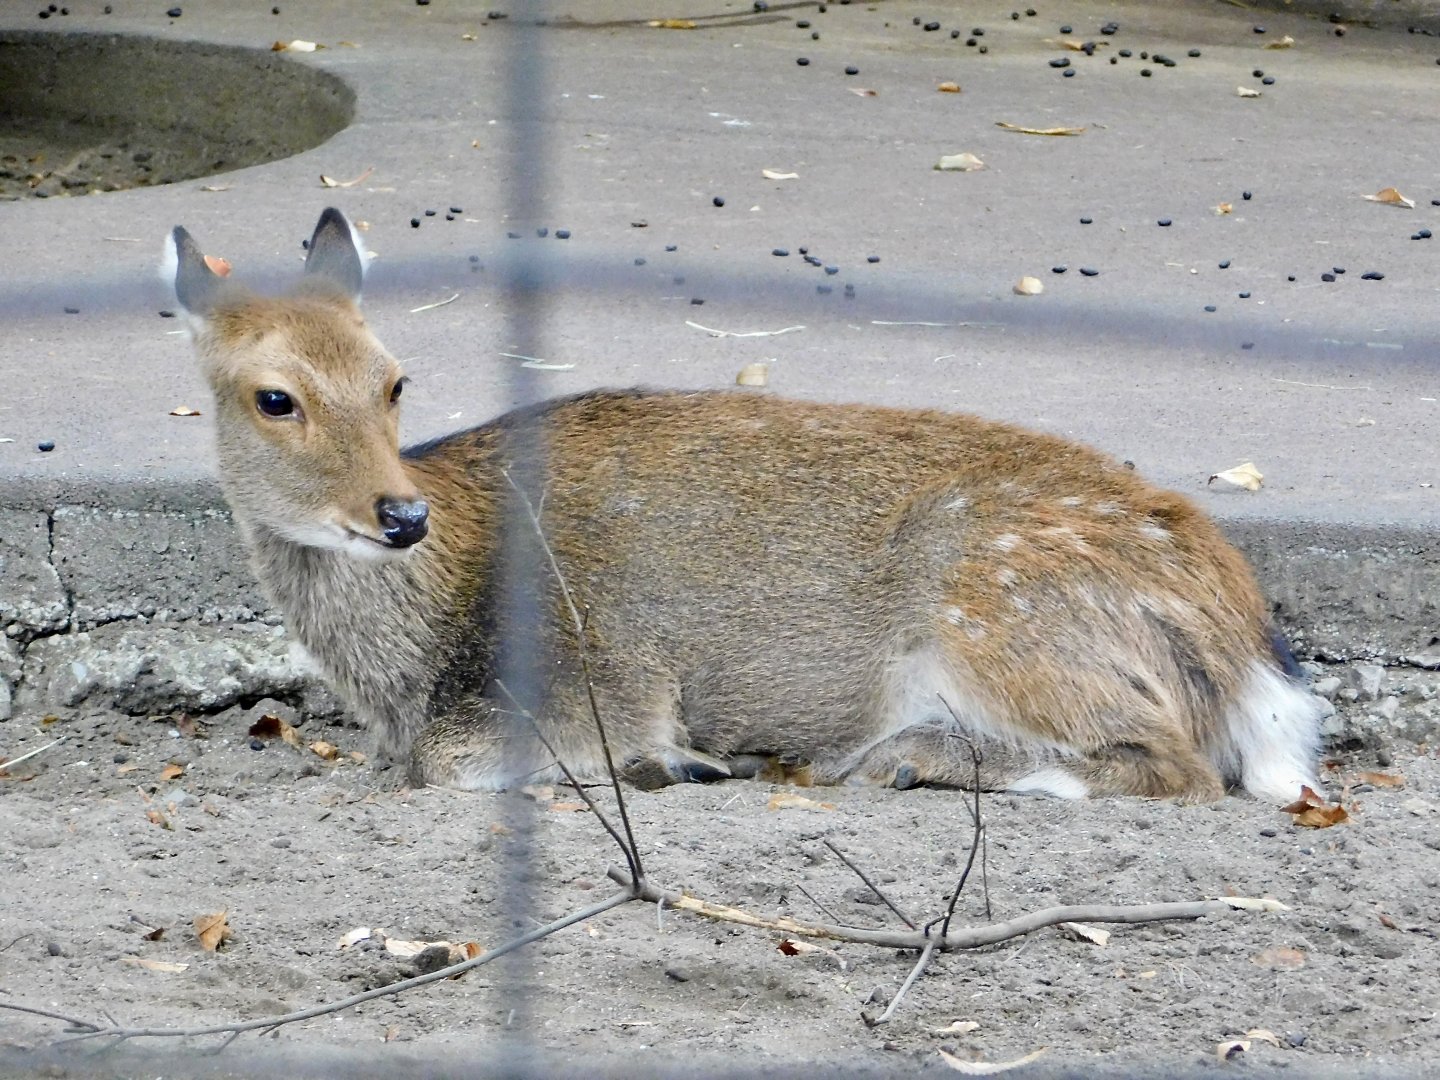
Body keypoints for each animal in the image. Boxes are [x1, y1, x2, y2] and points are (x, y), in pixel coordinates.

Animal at [163, 207, 1321, 803]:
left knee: (1178, 766)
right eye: (275, 396)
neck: (413, 667)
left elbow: (462, 761)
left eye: (396, 378)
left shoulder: (608, 670)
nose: (400, 518)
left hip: (999, 613)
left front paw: (678, 759)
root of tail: (1244, 634)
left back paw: (903, 756)